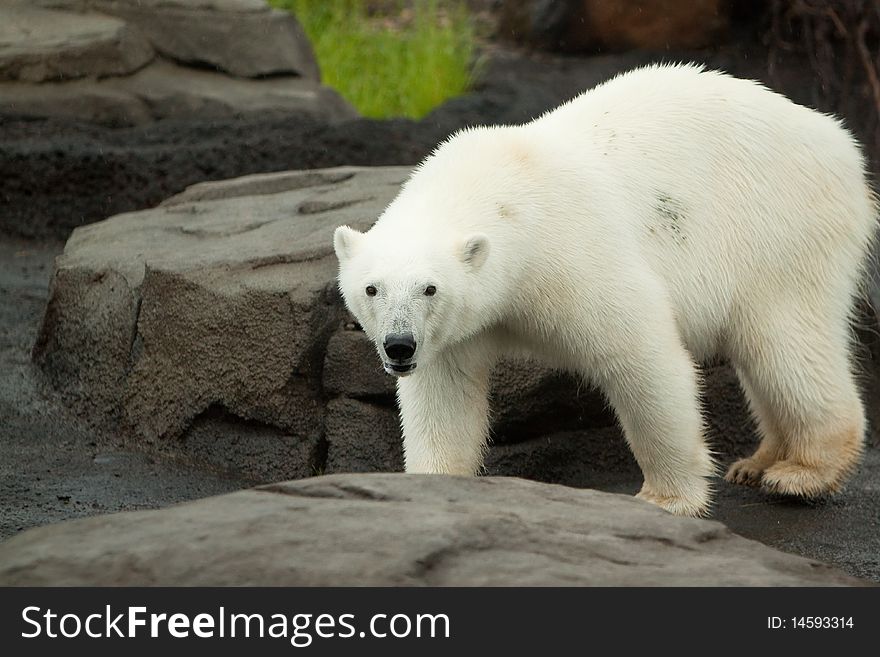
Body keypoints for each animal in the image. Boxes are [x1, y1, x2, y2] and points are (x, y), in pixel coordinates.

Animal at [334, 66, 876, 516]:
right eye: (372, 289)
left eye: (429, 289)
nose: (399, 346)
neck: (502, 194)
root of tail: (841, 141)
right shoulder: (457, 329)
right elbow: (444, 393)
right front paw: (430, 484)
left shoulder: (570, 253)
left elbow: (642, 357)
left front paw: (667, 498)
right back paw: (757, 462)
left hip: (779, 229)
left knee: (786, 344)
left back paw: (802, 473)